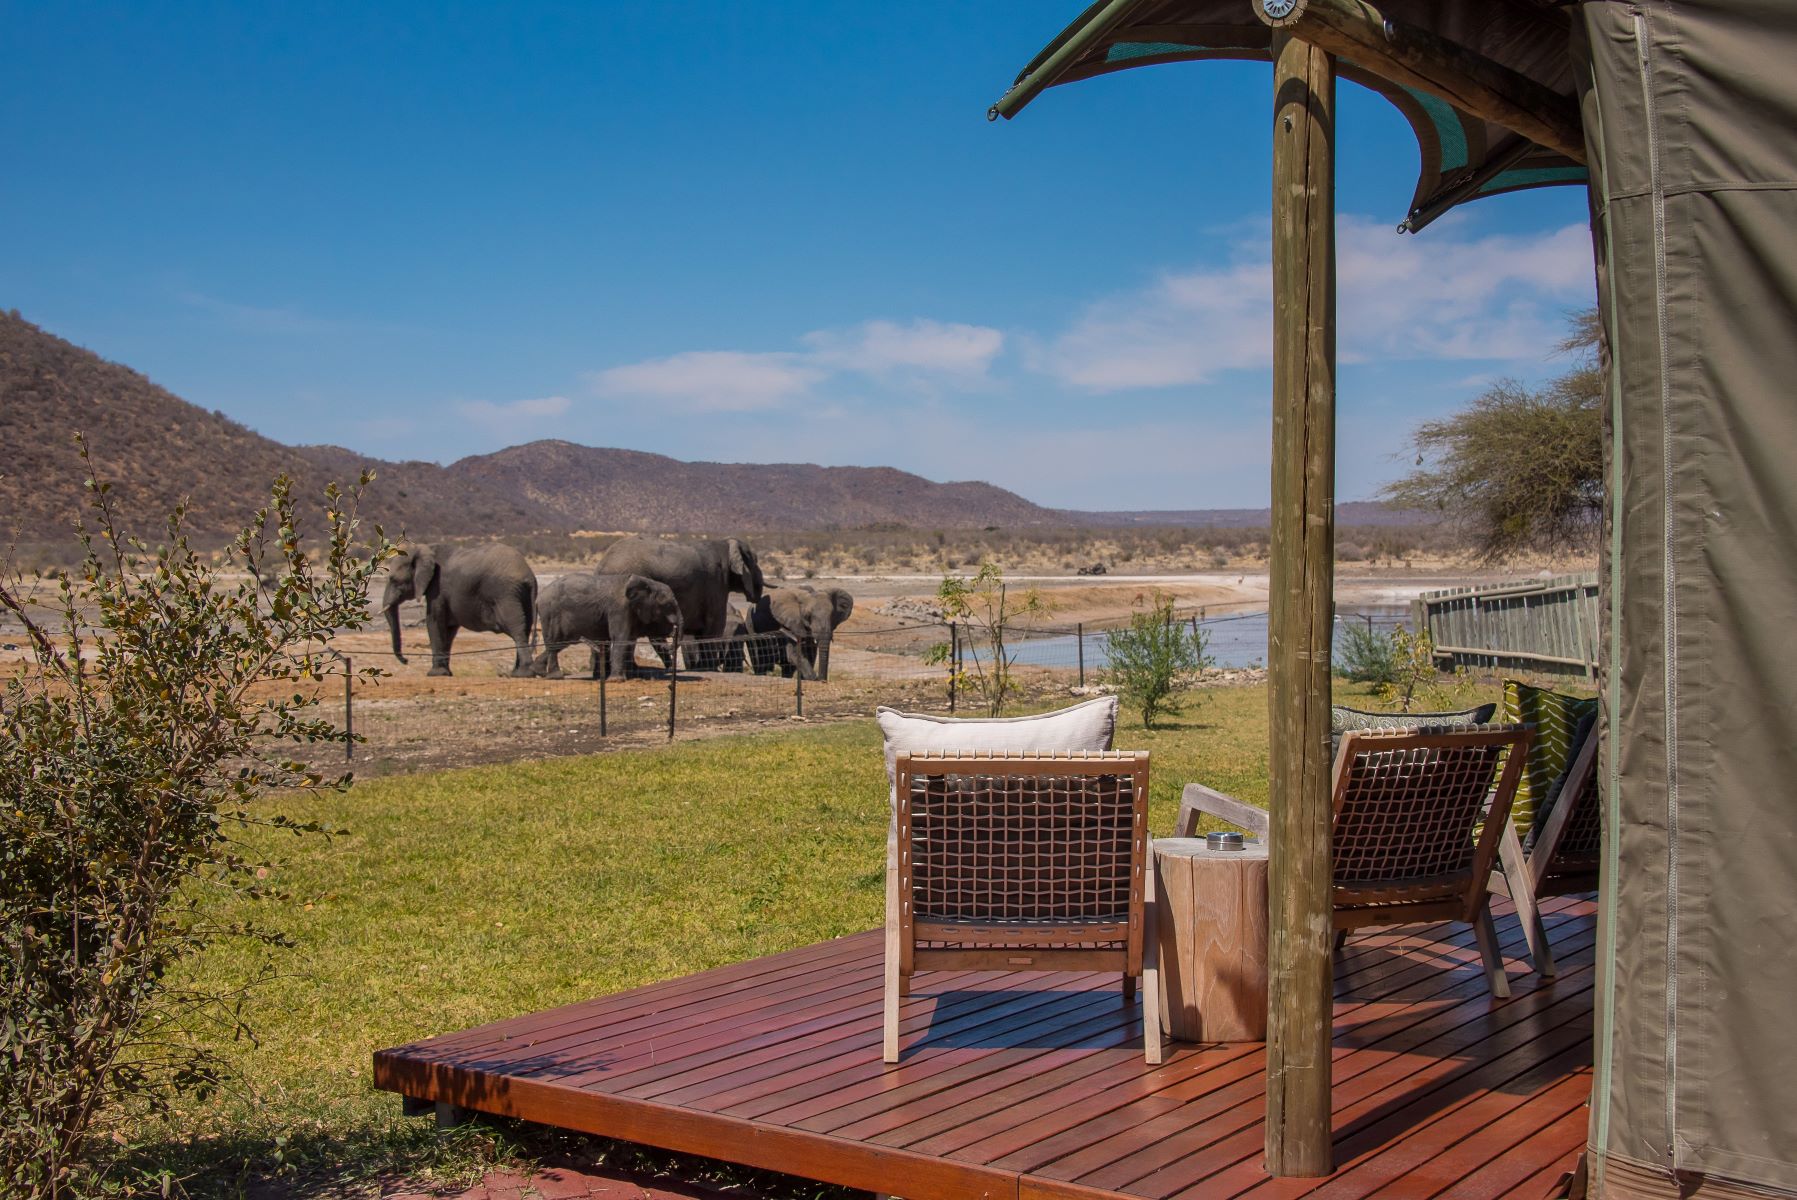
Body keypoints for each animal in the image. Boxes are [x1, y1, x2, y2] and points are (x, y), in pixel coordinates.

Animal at [382, 543, 537, 677]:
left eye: (393, 580)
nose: (406, 661)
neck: (424, 548)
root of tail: (530, 577)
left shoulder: (438, 588)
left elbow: (434, 621)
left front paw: (435, 674)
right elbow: (449, 629)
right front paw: (446, 673)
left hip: (505, 594)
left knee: (517, 630)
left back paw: (523, 674)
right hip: (522, 597)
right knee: (525, 628)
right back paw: (517, 673)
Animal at [533, 573, 682, 680]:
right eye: (668, 605)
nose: (672, 632)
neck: (647, 582)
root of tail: (538, 598)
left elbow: (628, 639)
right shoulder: (619, 608)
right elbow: (620, 637)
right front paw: (616, 680)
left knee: (562, 642)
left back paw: (540, 672)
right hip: (550, 613)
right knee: (554, 642)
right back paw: (555, 677)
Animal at [594, 537, 765, 671]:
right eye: (755, 561)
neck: (726, 543)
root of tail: (602, 564)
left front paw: (701, 668)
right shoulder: (716, 584)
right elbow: (714, 627)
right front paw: (710, 669)